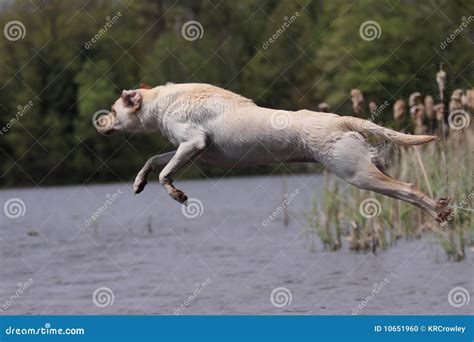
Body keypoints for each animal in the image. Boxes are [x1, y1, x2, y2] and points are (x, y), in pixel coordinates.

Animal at [93, 83, 452, 222]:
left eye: (113, 109)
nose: (98, 121)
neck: (162, 103)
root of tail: (341, 119)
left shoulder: (193, 144)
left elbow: (166, 173)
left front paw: (176, 194)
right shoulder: (189, 150)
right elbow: (153, 161)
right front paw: (139, 182)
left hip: (357, 174)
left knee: (409, 189)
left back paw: (438, 210)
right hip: (368, 167)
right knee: (403, 188)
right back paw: (441, 208)